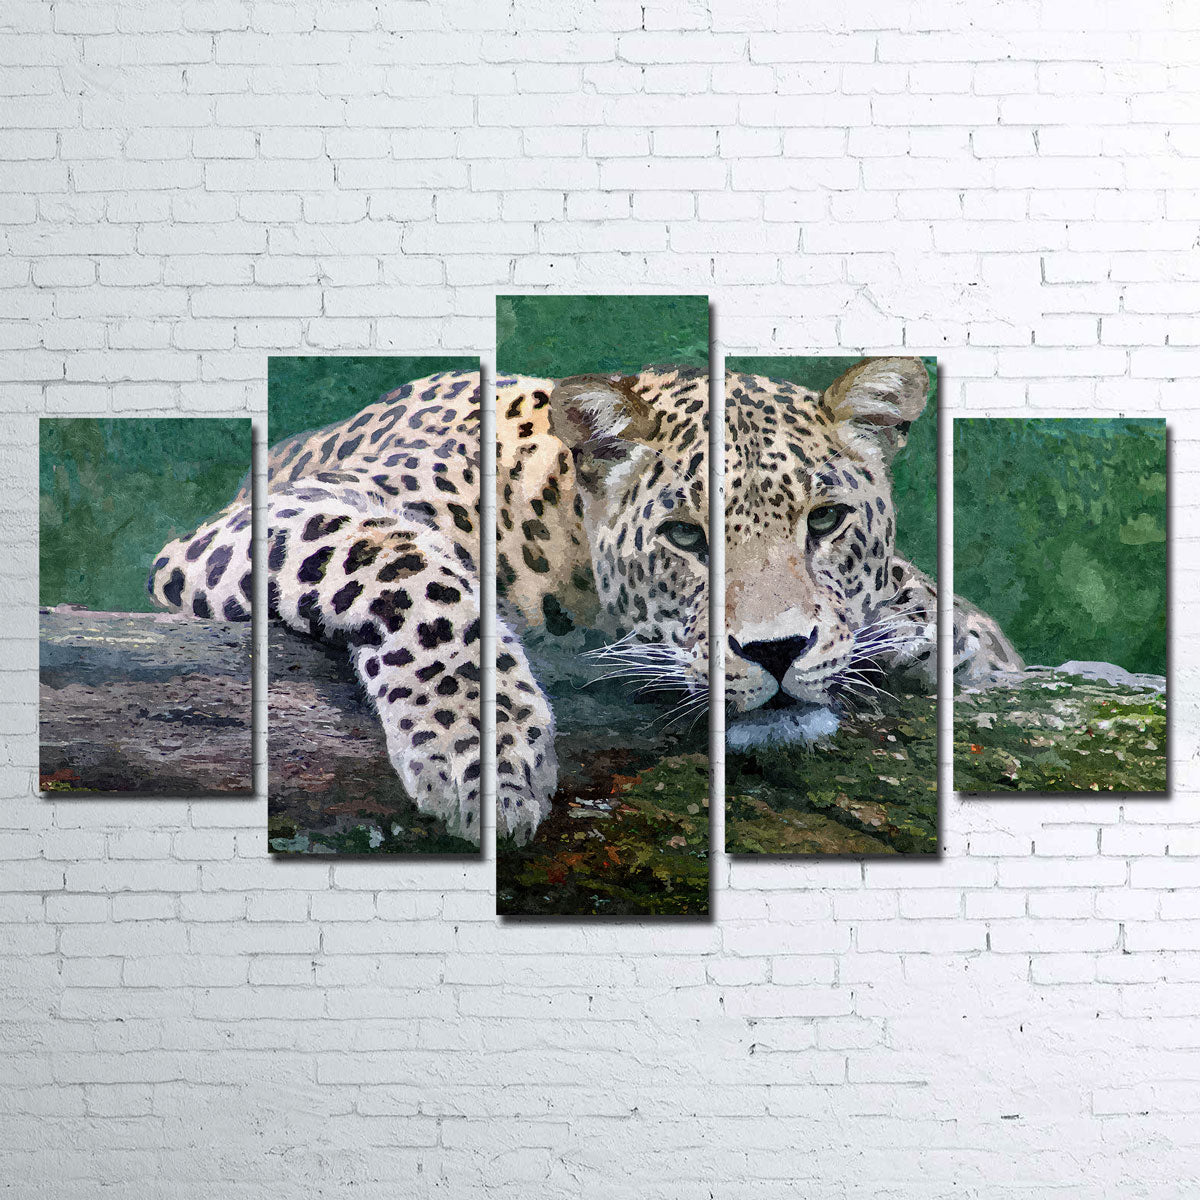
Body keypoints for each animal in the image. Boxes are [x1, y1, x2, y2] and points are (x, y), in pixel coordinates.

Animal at [147, 358, 1020, 847]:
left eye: (827, 521)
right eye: (685, 536)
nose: (775, 653)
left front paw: (934, 632)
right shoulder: (263, 520)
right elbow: (413, 569)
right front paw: (484, 758)